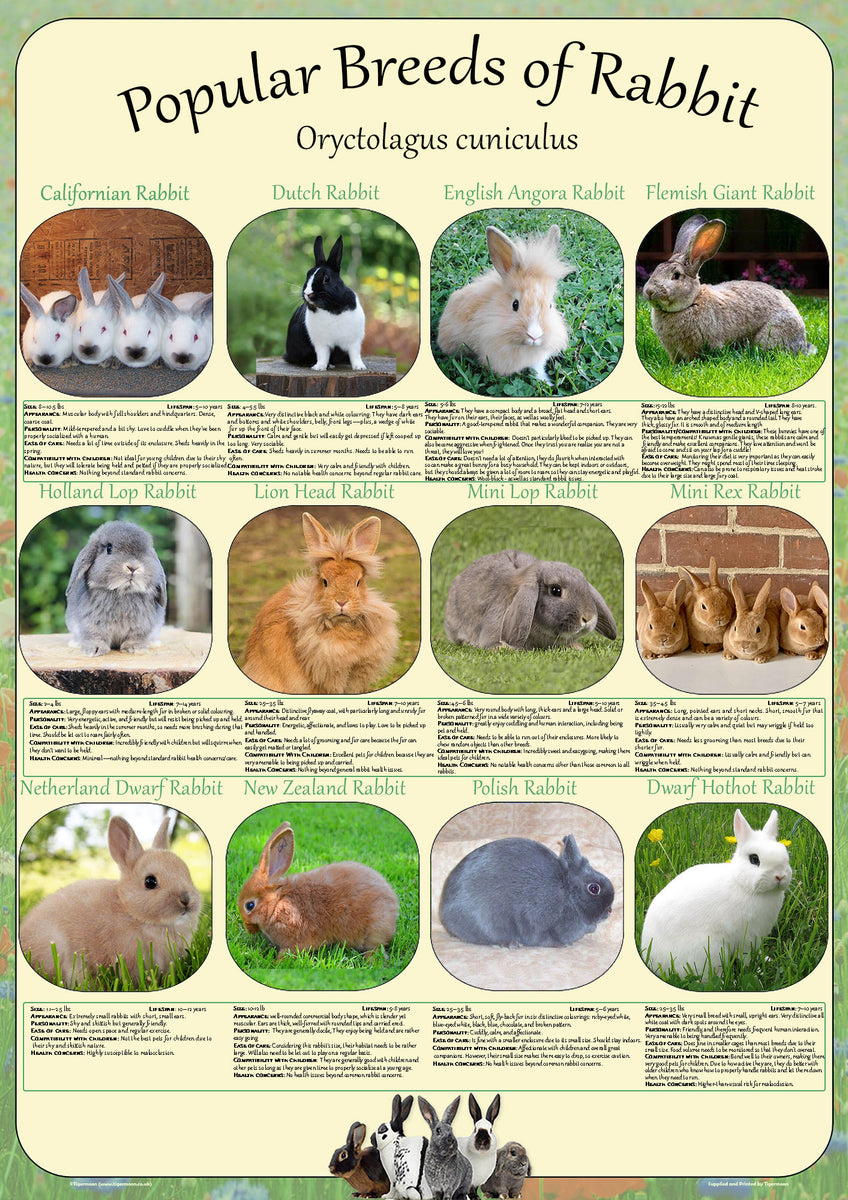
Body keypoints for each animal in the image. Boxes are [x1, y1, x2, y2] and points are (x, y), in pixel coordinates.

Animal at [65, 520, 167, 656]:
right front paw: (94, 650)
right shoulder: (92, 623)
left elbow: (137, 636)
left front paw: (135, 649)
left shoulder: (142, 625)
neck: (122, 591)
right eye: (109, 548)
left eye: (146, 552)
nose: (133, 567)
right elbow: (95, 635)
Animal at [237, 821, 398, 960]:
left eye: (249, 905)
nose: (248, 929)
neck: (277, 902)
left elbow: (289, 951)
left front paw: (278, 962)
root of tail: (393, 906)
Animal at [285, 235, 366, 370]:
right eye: (307, 275)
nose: (307, 293)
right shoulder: (321, 343)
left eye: (326, 278)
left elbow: (355, 354)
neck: (330, 308)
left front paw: (359, 367)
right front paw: (319, 367)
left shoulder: (354, 341)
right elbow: (323, 355)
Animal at [439, 834, 615, 949]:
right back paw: (510, 944)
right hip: (486, 923)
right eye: (594, 888)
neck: (567, 894)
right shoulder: (535, 920)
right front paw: (562, 945)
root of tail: (445, 915)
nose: (609, 911)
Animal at [641, 809, 793, 978]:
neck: (744, 885)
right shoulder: (746, 938)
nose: (780, 876)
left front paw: (766, 960)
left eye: (784, 853)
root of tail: (653, 962)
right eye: (754, 859)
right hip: (709, 952)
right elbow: (746, 959)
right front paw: (756, 972)